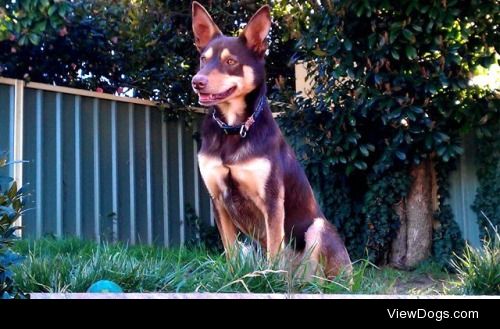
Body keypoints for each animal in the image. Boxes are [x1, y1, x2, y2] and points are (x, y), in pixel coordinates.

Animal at [191, 1, 352, 276]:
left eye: (231, 61)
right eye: (204, 59)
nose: (196, 82)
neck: (234, 129)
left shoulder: (272, 200)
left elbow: (275, 250)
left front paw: (270, 278)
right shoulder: (218, 200)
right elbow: (230, 251)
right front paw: (233, 277)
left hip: (318, 228)